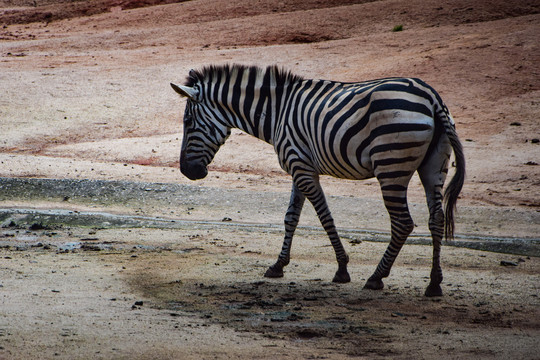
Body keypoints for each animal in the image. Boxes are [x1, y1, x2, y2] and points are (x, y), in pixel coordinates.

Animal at [172, 63, 464, 296]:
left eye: (188, 121)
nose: (187, 171)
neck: (276, 112)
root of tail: (431, 96)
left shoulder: (301, 168)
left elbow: (324, 216)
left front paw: (342, 268)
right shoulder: (299, 167)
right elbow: (291, 217)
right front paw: (278, 265)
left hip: (391, 166)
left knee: (403, 223)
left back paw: (376, 277)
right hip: (434, 166)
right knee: (436, 220)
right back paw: (434, 284)